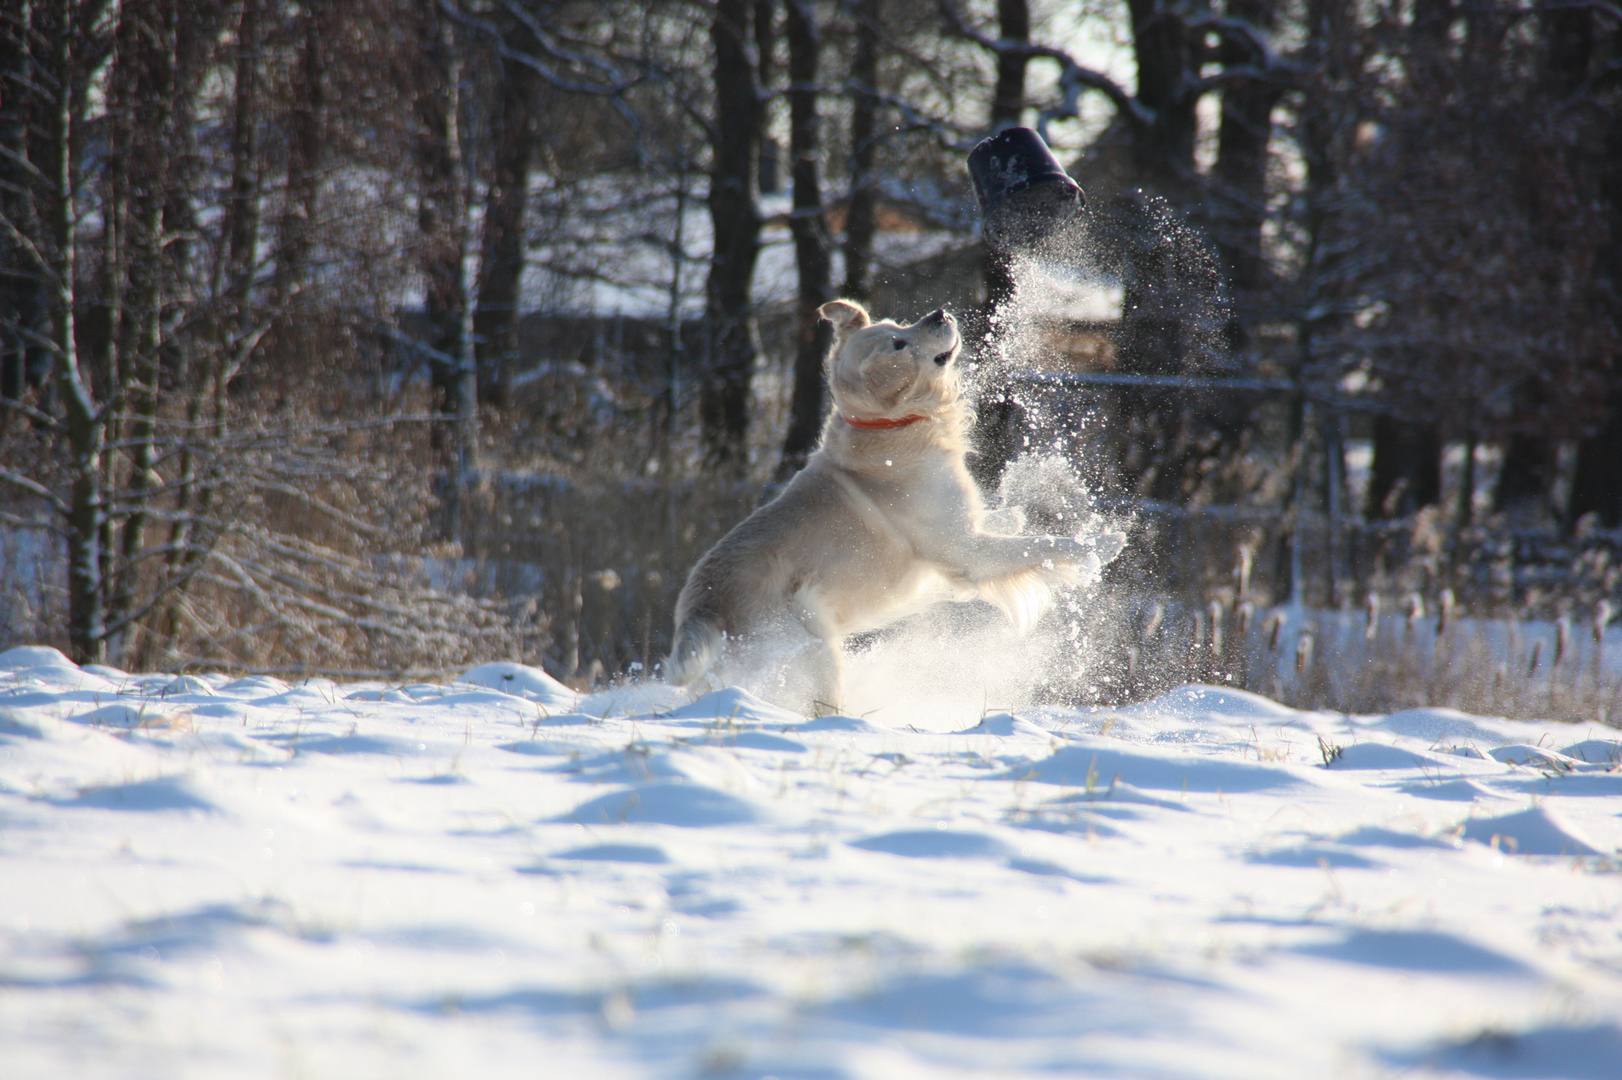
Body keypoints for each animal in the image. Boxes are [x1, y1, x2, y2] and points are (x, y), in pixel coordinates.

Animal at [665, 298, 1122, 710]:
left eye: (897, 325)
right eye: (898, 344)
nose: (939, 314)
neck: (889, 426)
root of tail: (699, 609)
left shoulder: (959, 541)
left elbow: (1003, 524)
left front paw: (1015, 515)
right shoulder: (967, 551)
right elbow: (1042, 545)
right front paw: (1099, 548)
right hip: (815, 645)